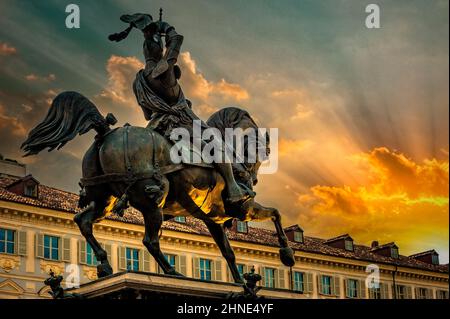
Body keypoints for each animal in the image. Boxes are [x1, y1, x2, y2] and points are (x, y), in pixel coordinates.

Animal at [21, 91, 296, 284]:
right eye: (262, 144)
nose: (253, 175)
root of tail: (105, 132)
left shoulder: (213, 219)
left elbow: (228, 252)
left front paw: (240, 282)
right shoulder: (243, 207)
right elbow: (275, 213)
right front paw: (287, 254)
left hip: (104, 199)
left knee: (83, 220)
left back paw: (105, 265)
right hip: (153, 196)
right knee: (150, 240)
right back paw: (173, 273)